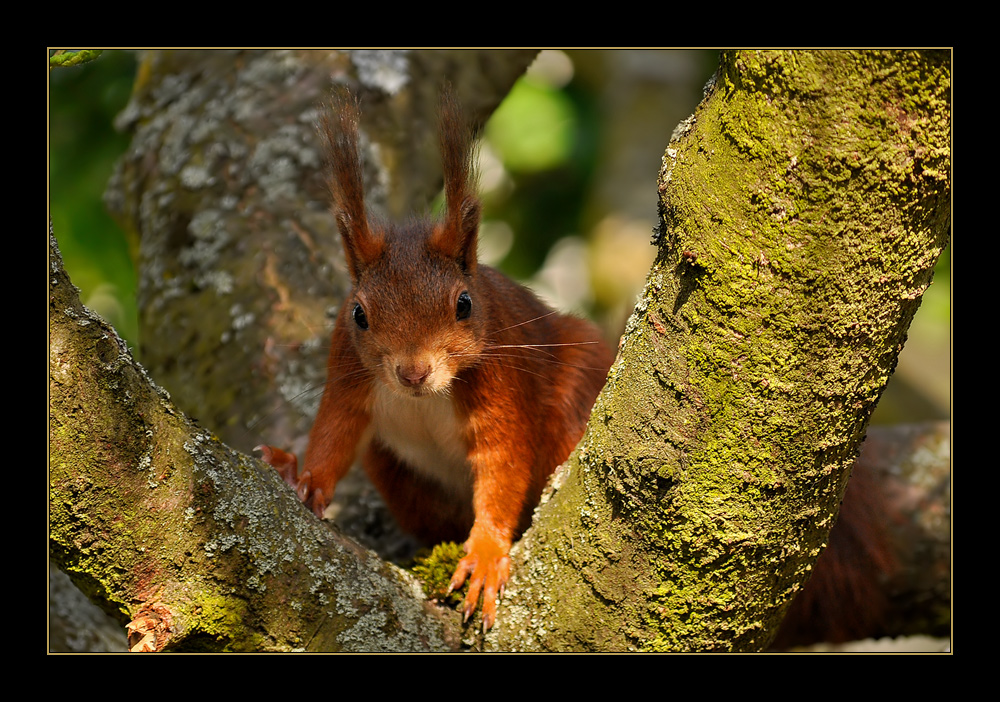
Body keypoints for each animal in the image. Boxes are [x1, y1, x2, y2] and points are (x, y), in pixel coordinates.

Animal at [258, 89, 612, 632]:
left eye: (464, 304)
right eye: (359, 313)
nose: (413, 371)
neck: (424, 398)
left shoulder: (500, 386)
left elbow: (503, 465)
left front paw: (485, 554)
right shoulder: (346, 371)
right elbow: (334, 434)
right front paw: (301, 475)